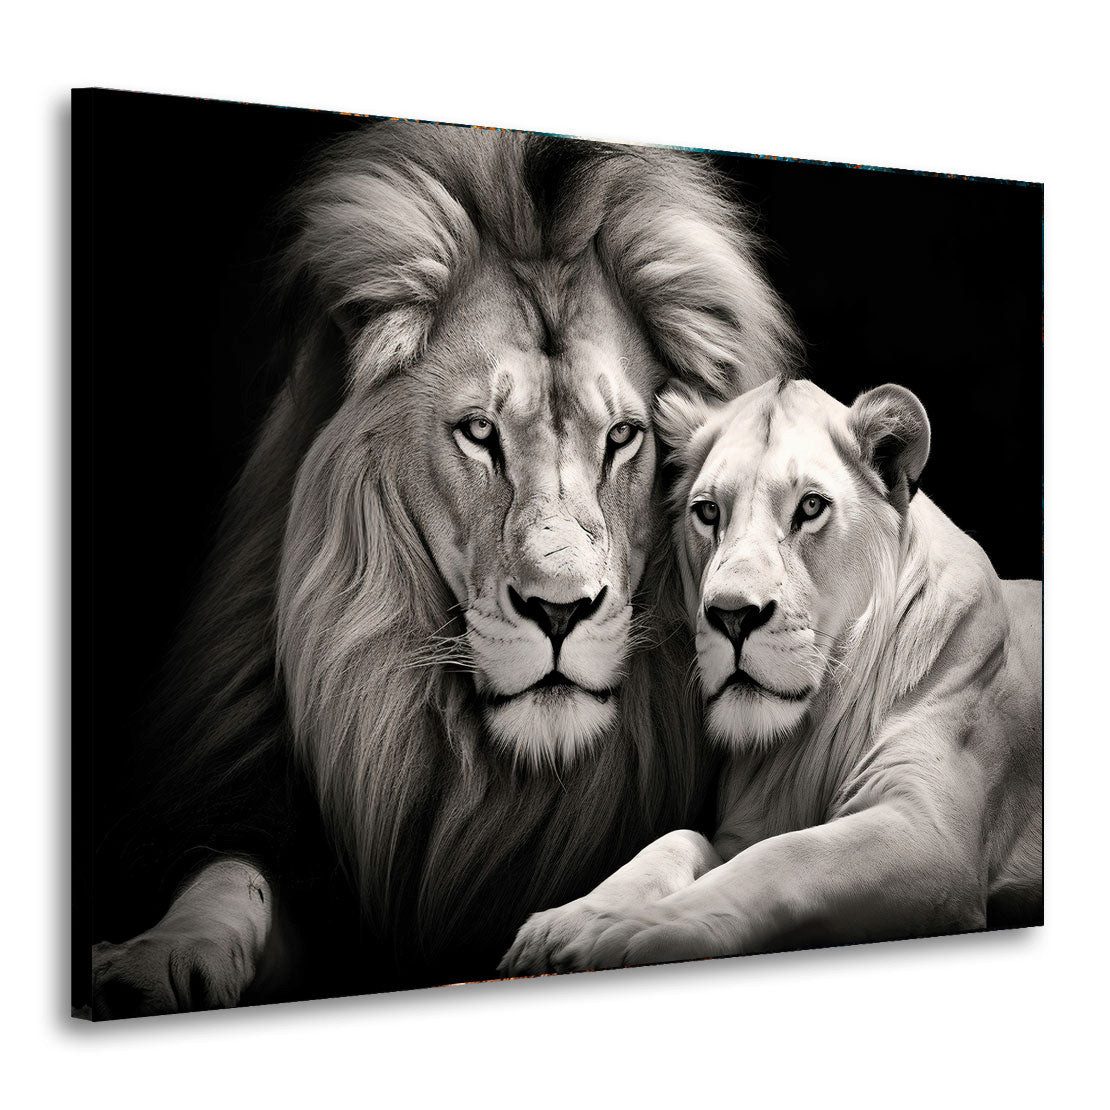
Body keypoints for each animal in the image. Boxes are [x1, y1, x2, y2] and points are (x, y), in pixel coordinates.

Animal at [87, 121, 800, 1016]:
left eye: (623, 437)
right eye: (479, 432)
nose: (560, 611)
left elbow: (697, 851)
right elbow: (232, 875)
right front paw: (161, 957)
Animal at [501, 377, 1042, 974]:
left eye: (810, 506)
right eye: (708, 513)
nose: (733, 615)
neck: (810, 732)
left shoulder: (930, 832)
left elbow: (786, 858)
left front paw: (629, 928)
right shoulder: (744, 829)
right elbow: (677, 839)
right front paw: (571, 919)